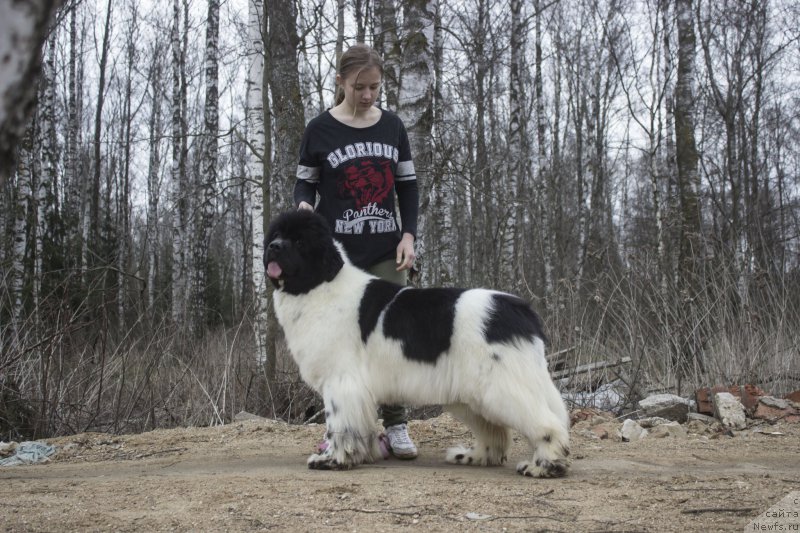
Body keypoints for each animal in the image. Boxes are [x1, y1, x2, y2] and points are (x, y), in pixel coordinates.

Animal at [266, 210, 572, 476]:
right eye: (277, 234)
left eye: (299, 241)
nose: (273, 247)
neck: (320, 284)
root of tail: (520, 308)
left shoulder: (341, 382)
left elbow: (338, 426)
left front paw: (332, 459)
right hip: (471, 395)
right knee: (495, 433)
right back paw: (472, 457)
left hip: (500, 386)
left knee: (546, 424)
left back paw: (544, 466)